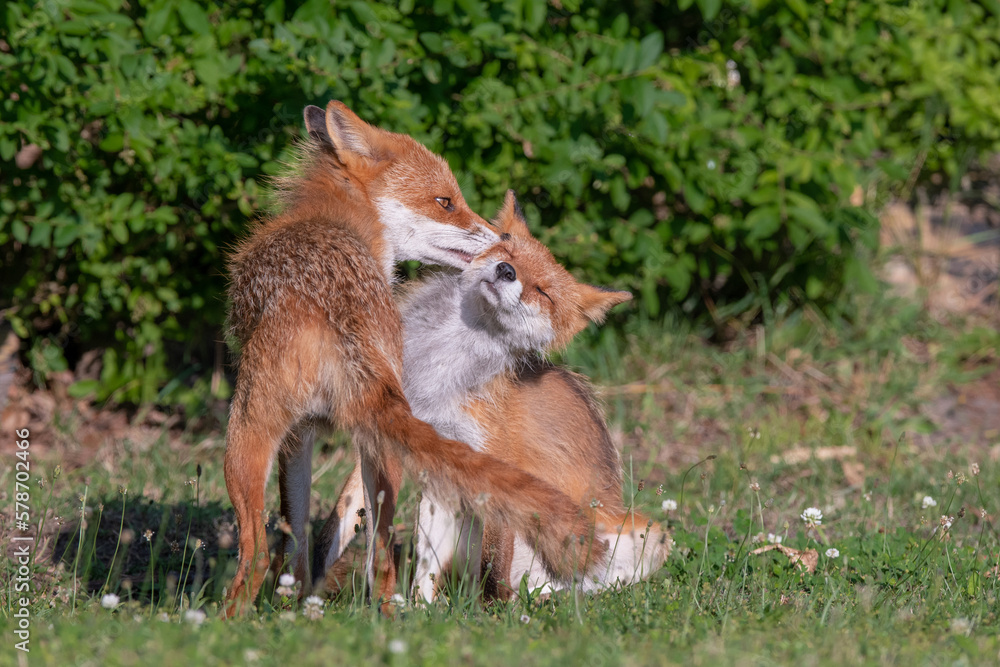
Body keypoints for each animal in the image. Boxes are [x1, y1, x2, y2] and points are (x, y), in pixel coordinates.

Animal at [225, 100, 600, 616]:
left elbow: (286, 533)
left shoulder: (292, 434)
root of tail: (336, 316)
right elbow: (299, 531)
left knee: (256, 553)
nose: (503, 244)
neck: (341, 223)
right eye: (446, 201)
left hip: (244, 432)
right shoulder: (306, 432)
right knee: (381, 561)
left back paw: (221, 619)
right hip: (383, 450)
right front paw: (296, 600)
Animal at [314, 192, 672, 600]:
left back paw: (542, 602)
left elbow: (493, 567)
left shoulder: (497, 464)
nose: (505, 271)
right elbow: (356, 526)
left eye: (543, 291)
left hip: (644, 537)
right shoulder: (418, 446)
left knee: (570, 582)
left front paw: (491, 611)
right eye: (506, 251)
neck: (439, 370)